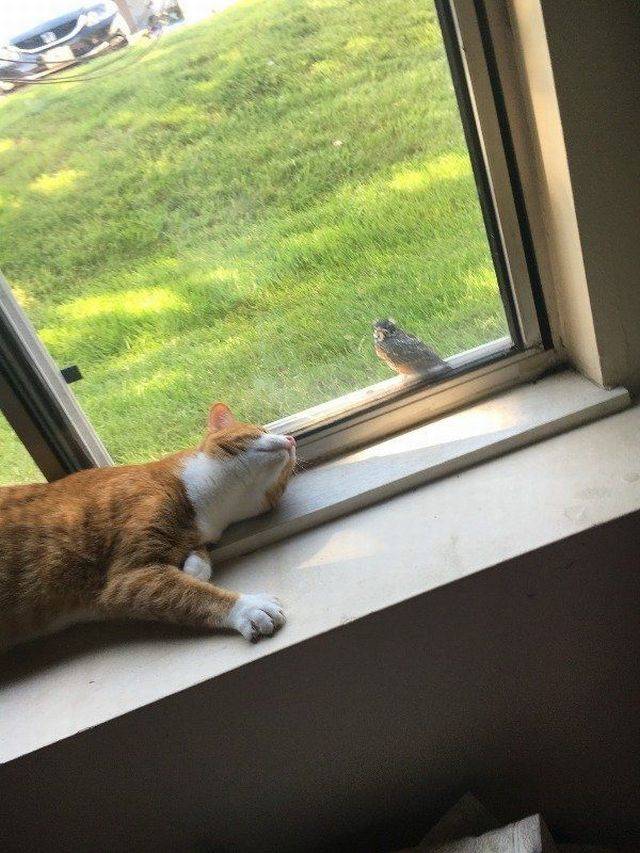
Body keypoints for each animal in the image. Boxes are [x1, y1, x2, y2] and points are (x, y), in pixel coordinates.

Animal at [0, 403, 295, 650]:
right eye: (259, 431)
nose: (292, 440)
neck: (210, 509)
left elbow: (198, 564)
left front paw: (193, 566)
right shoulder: (127, 578)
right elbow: (192, 593)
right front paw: (249, 608)